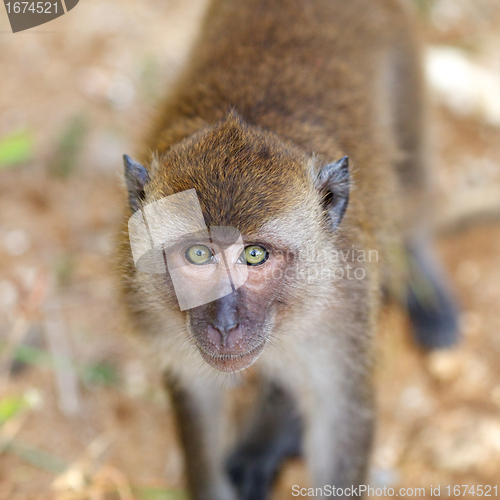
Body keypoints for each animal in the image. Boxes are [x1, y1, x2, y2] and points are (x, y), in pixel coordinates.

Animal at [115, 0, 458, 498]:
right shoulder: (155, 314)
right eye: (198, 254)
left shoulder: (343, 308)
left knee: (410, 185)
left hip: (403, 66)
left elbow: (339, 423)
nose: (225, 324)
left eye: (255, 254)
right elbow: (198, 400)